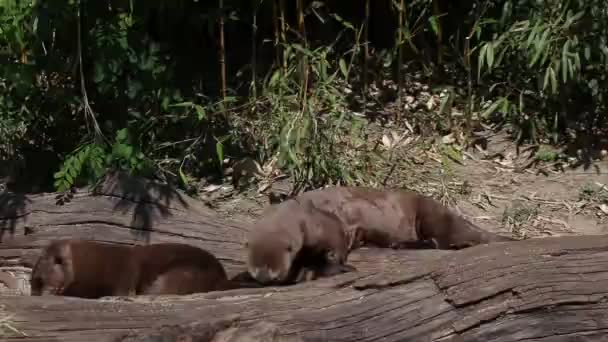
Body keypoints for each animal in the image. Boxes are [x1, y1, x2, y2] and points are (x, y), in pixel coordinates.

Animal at [29, 239, 248, 298]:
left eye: (40, 281)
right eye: (32, 284)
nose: (36, 294)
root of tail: (221, 277)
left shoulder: (123, 274)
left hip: (185, 272)